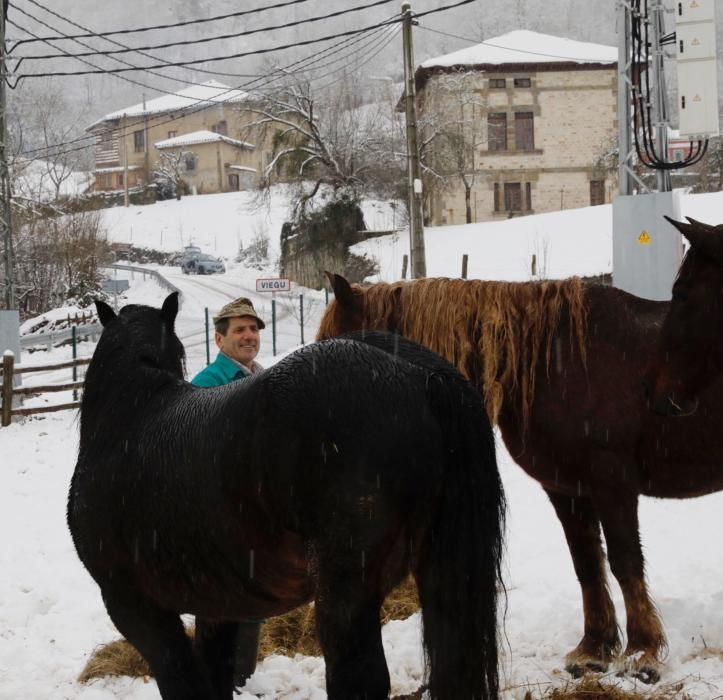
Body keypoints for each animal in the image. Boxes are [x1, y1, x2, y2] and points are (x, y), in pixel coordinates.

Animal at [320, 262, 723, 684]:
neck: (559, 362)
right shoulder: (566, 489)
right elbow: (587, 564)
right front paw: (593, 650)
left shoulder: (613, 486)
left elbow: (625, 562)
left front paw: (642, 654)